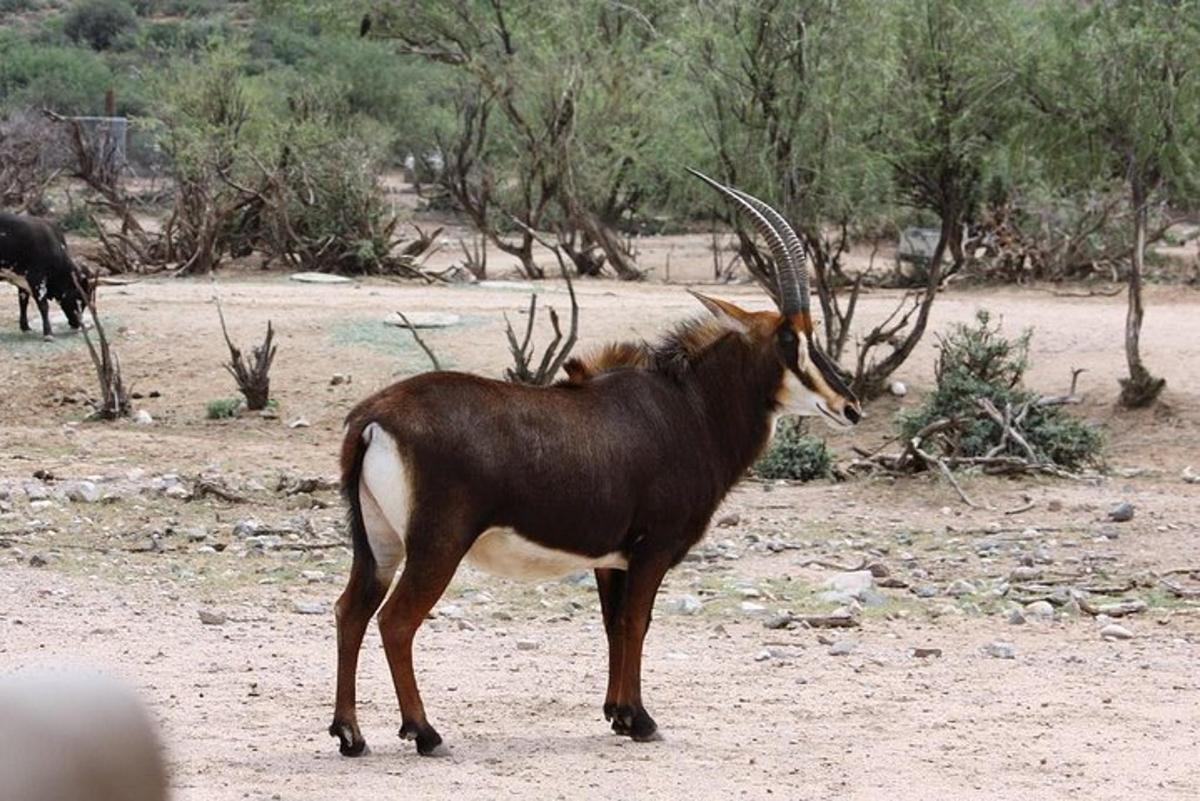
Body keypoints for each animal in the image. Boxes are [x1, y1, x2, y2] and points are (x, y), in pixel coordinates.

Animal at [328, 169, 864, 757]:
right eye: (792, 338)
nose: (850, 407)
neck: (688, 407)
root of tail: (373, 417)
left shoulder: (613, 558)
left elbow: (613, 624)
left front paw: (618, 714)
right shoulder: (653, 549)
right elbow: (637, 622)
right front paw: (642, 719)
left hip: (379, 543)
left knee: (350, 611)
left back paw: (350, 734)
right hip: (436, 546)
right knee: (397, 621)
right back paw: (424, 732)